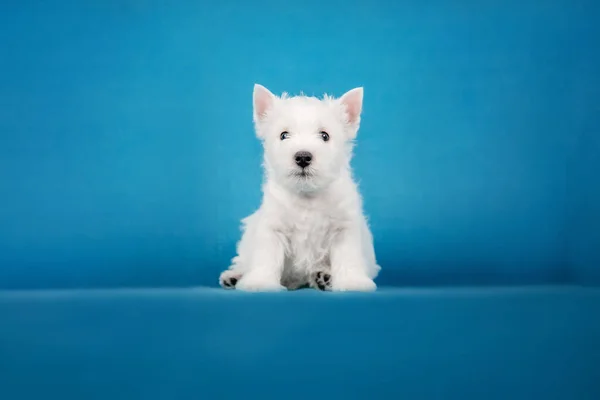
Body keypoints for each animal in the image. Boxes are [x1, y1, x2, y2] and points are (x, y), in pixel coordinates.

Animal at [219, 83, 380, 290]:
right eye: (284, 135)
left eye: (325, 135)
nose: (303, 157)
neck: (307, 195)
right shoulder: (273, 227)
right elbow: (266, 257)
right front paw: (260, 283)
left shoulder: (343, 228)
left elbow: (348, 257)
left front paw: (352, 282)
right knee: (244, 260)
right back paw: (234, 276)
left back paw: (323, 276)